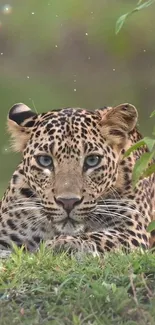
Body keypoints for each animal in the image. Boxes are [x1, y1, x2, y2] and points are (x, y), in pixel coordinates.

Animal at [0, 101, 154, 256]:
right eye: (45, 160)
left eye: (92, 160)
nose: (68, 202)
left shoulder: (132, 230)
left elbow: (99, 237)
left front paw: (62, 243)